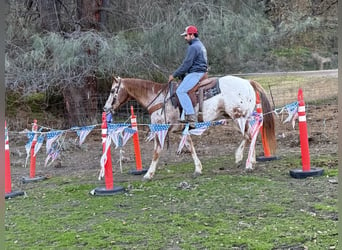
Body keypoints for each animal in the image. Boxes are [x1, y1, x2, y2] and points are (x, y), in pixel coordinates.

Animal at [103, 75, 276, 181]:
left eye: (112, 91)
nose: (105, 108)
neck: (160, 99)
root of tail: (248, 82)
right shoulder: (181, 130)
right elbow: (190, 146)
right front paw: (198, 168)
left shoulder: (161, 130)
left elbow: (156, 152)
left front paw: (148, 174)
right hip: (241, 118)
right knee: (252, 134)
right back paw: (249, 160)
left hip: (238, 117)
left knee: (248, 136)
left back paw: (244, 161)